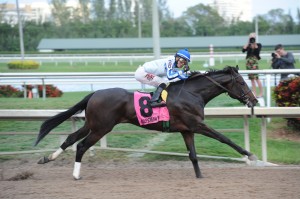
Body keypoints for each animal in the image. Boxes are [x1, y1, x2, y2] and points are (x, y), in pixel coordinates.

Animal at [35, 66, 258, 180]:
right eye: (242, 82)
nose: (254, 100)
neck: (192, 93)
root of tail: (95, 93)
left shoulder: (187, 130)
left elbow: (193, 155)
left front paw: (200, 176)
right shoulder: (197, 125)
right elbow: (224, 138)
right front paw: (250, 154)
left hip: (92, 124)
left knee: (71, 138)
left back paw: (47, 158)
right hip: (101, 128)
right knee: (81, 145)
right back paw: (75, 175)